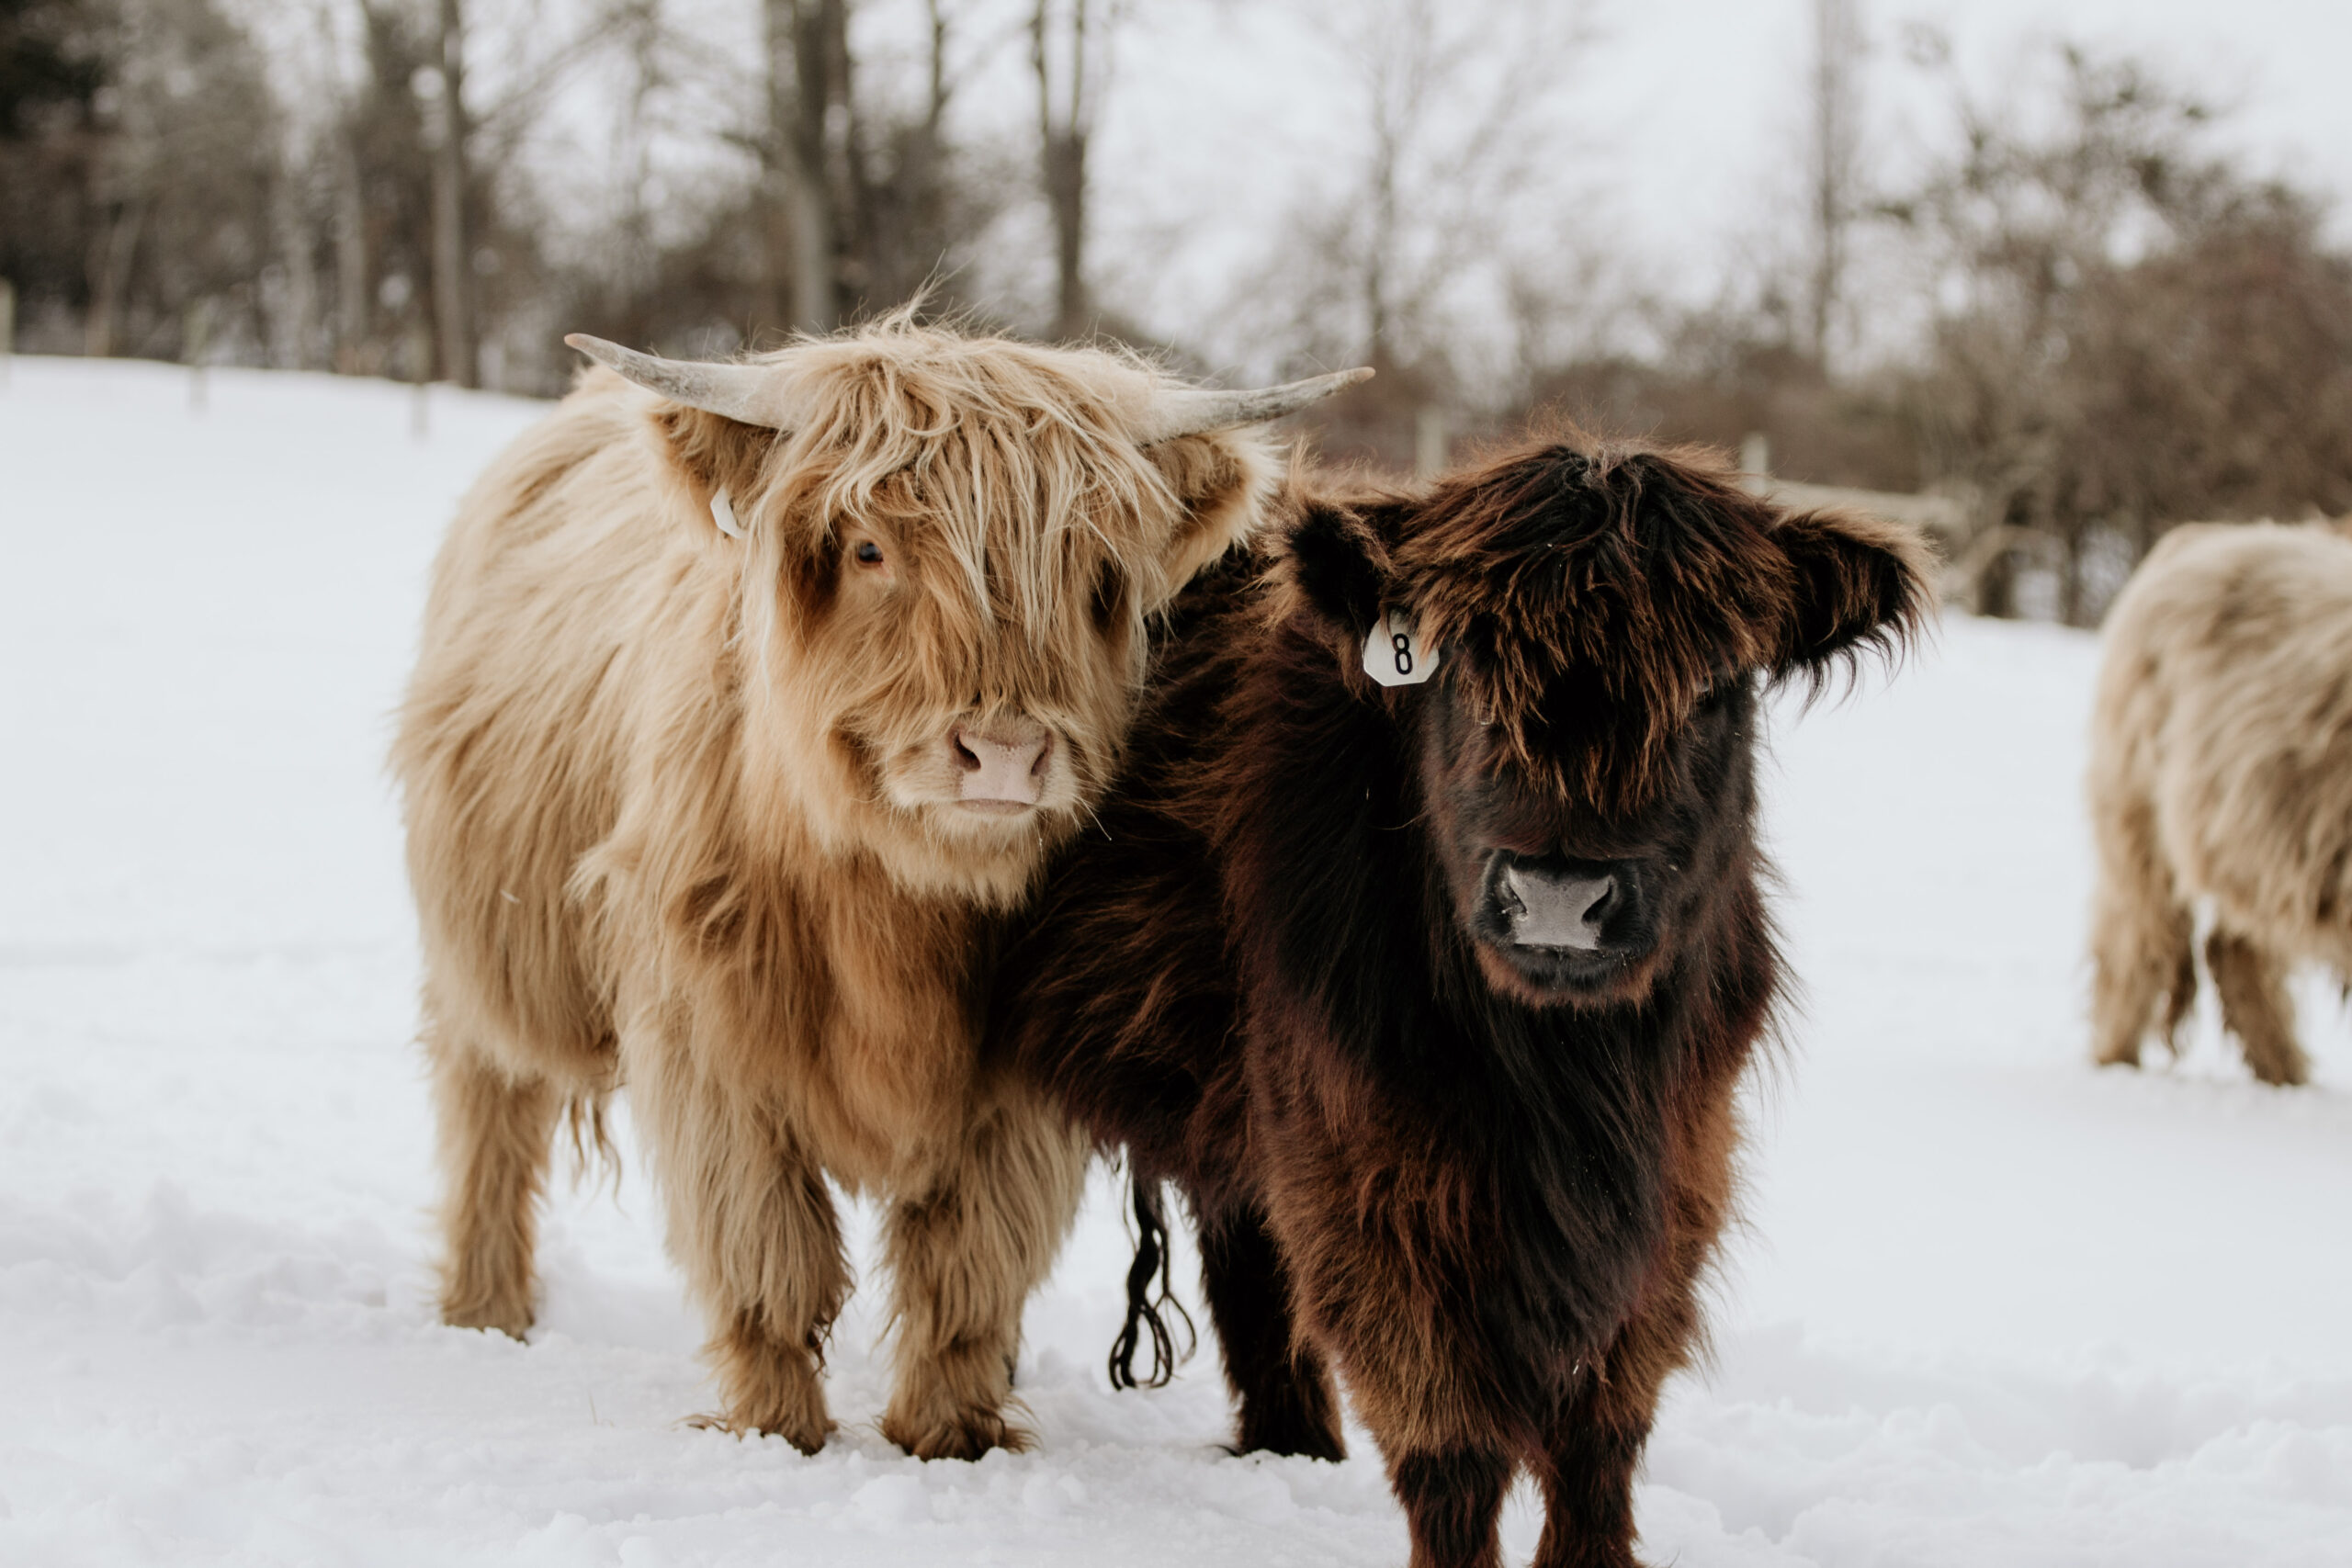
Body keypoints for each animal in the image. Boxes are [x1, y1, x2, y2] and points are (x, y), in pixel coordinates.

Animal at [390, 320, 1363, 1457]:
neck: (890, 916)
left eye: (1096, 570)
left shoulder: (1017, 1085)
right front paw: (775, 1433)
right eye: (868, 550)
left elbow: (968, 1272)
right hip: (486, 950)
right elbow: (767, 1254)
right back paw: (486, 1312)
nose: (1005, 753)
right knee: (488, 1112)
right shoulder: (708, 1048)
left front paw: (950, 1441)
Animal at [992, 439, 1928, 1568]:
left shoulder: (1678, 1169)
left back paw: (1292, 1450)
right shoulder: (1362, 1170)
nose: (1560, 894)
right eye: (1467, 671)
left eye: (1711, 685)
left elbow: (1602, 1432)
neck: (1557, 1072)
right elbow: (1449, 1439)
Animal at [2088, 522, 2352, 1086]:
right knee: (2137, 950)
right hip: (2140, 818)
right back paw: (2116, 1063)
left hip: (2255, 843)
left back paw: (2284, 1076)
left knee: (2234, 952)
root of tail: (2201, 537)